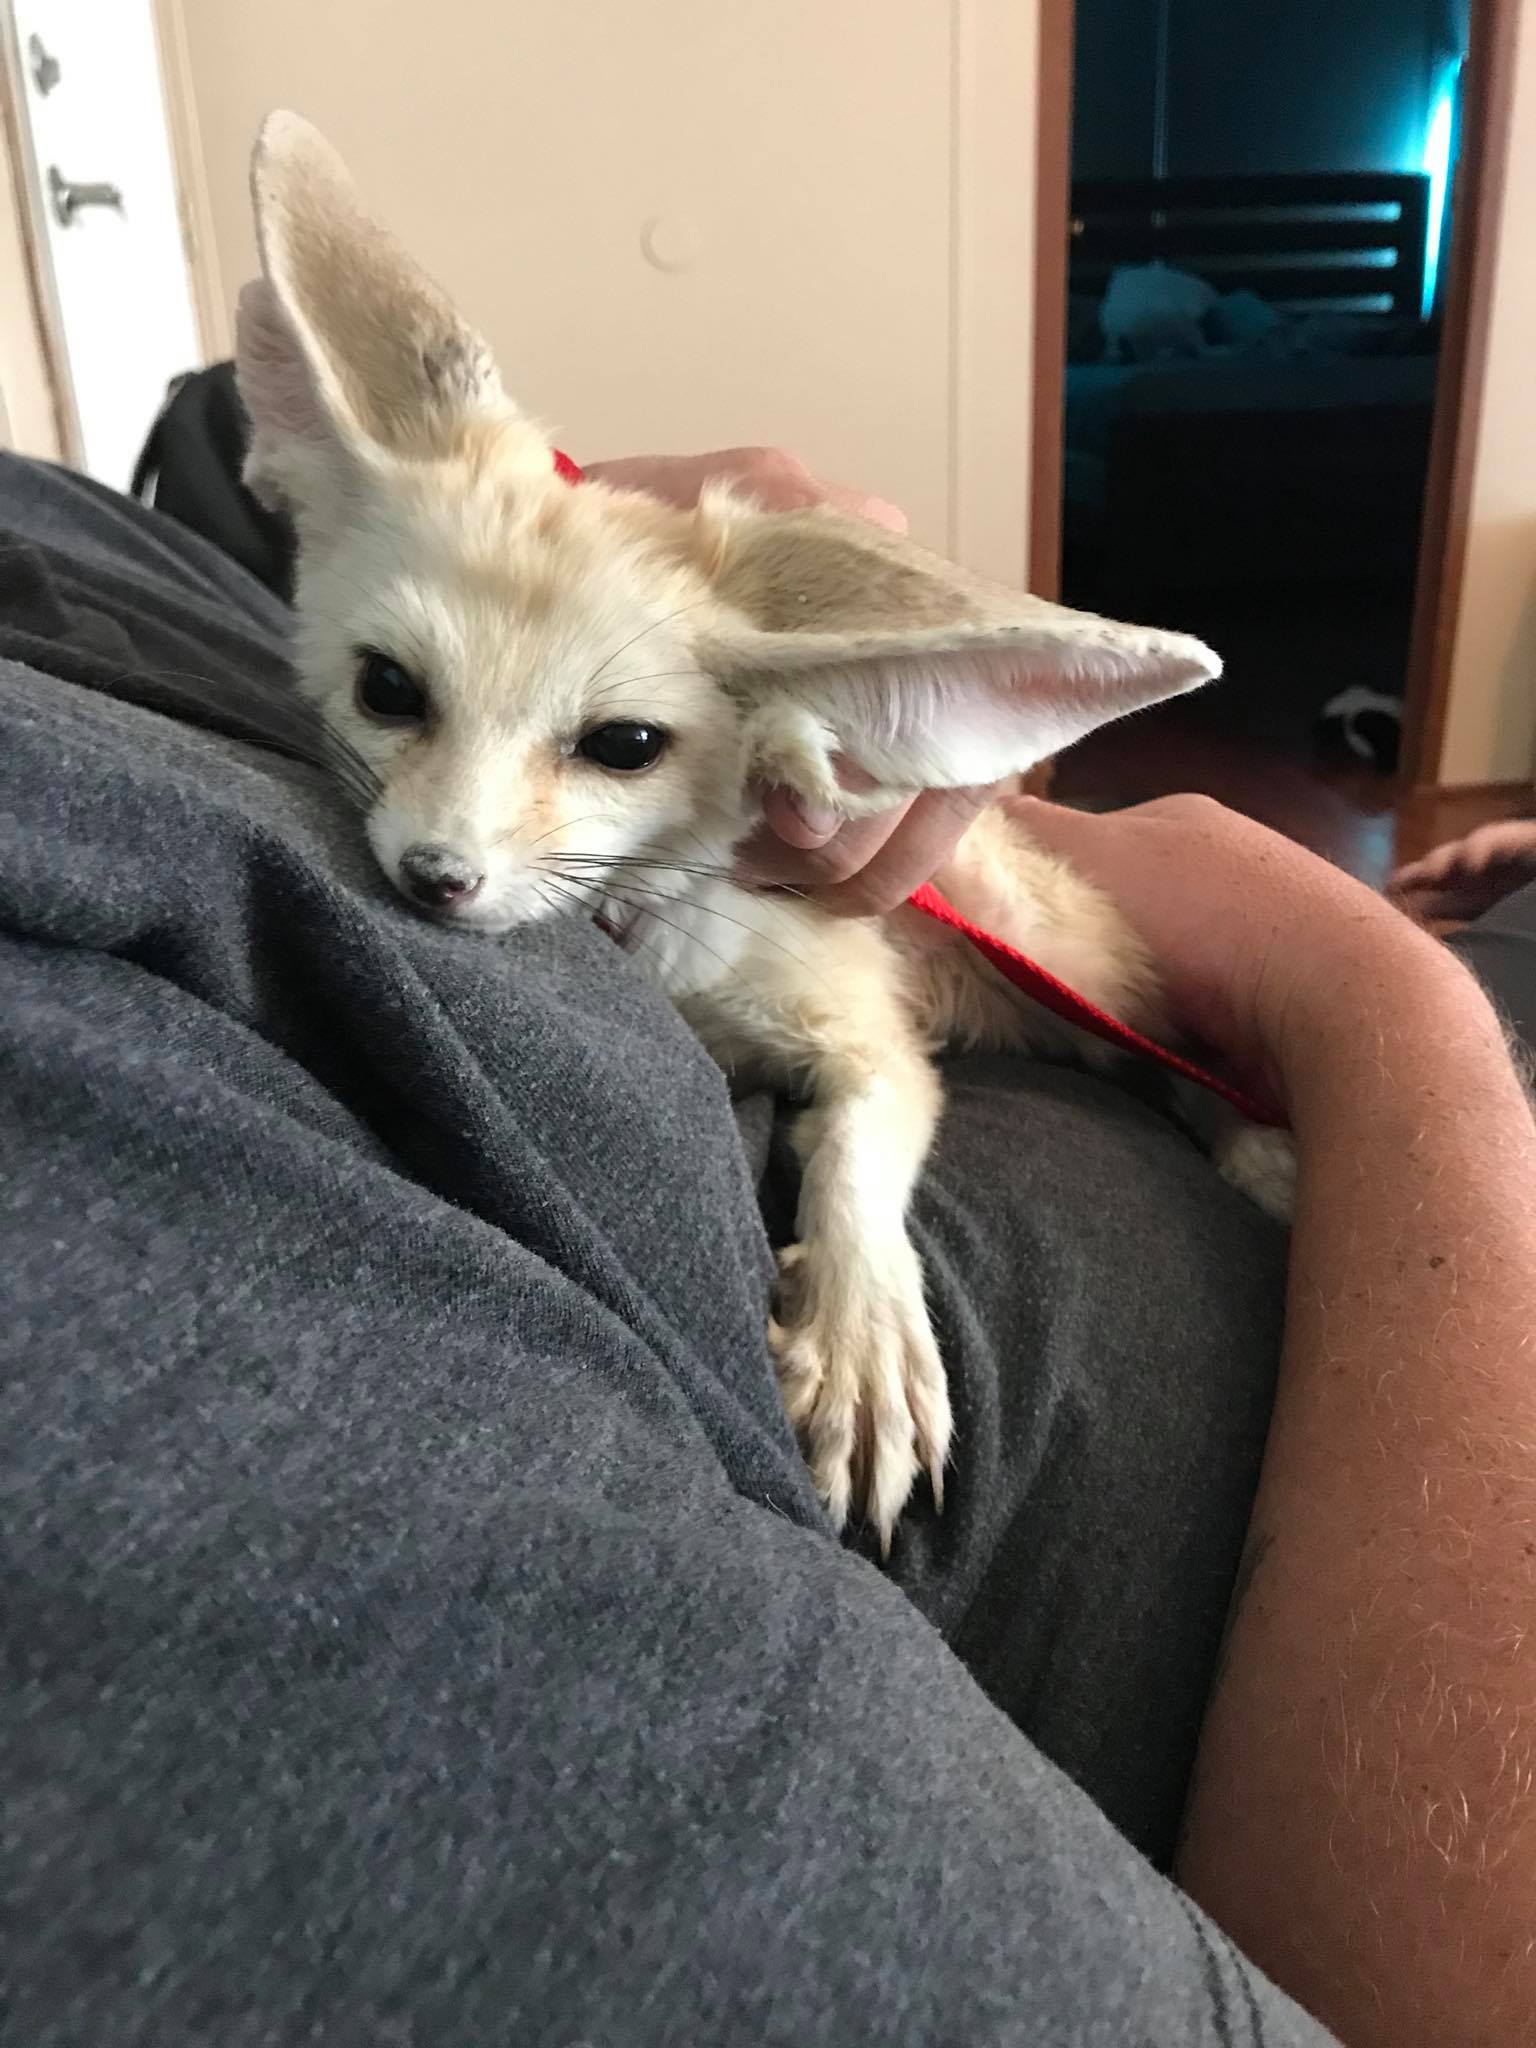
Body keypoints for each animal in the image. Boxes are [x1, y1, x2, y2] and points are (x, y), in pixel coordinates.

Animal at [236, 113, 1293, 1550]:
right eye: (389, 689)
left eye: (625, 746)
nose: (435, 879)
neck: (657, 933)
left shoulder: (869, 1030)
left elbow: (856, 1154)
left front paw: (862, 1333)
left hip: (1053, 965)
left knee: (1175, 1053)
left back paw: (1250, 1140)